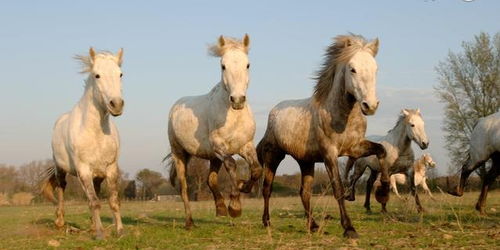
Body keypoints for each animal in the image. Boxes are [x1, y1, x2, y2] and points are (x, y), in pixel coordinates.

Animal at [42, 47, 126, 239]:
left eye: (120, 74)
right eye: (97, 75)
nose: (116, 104)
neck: (95, 133)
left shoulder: (111, 168)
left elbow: (113, 200)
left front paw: (119, 231)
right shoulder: (83, 170)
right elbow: (94, 202)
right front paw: (100, 234)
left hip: (98, 175)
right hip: (61, 169)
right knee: (62, 188)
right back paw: (60, 221)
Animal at [167, 34, 264, 229]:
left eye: (248, 64)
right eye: (223, 65)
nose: (237, 100)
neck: (234, 117)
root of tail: (175, 107)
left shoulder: (246, 146)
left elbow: (257, 170)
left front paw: (243, 186)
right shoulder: (219, 146)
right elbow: (232, 165)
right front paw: (235, 207)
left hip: (213, 158)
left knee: (210, 180)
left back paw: (220, 208)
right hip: (180, 153)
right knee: (183, 188)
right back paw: (190, 222)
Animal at [256, 33, 384, 238]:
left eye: (375, 69)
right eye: (352, 69)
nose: (370, 106)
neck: (341, 115)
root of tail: (273, 113)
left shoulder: (355, 148)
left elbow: (381, 151)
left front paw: (384, 190)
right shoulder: (329, 154)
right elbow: (337, 188)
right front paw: (349, 229)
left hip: (306, 162)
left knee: (304, 192)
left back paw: (313, 225)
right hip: (273, 157)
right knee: (267, 188)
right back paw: (267, 222)